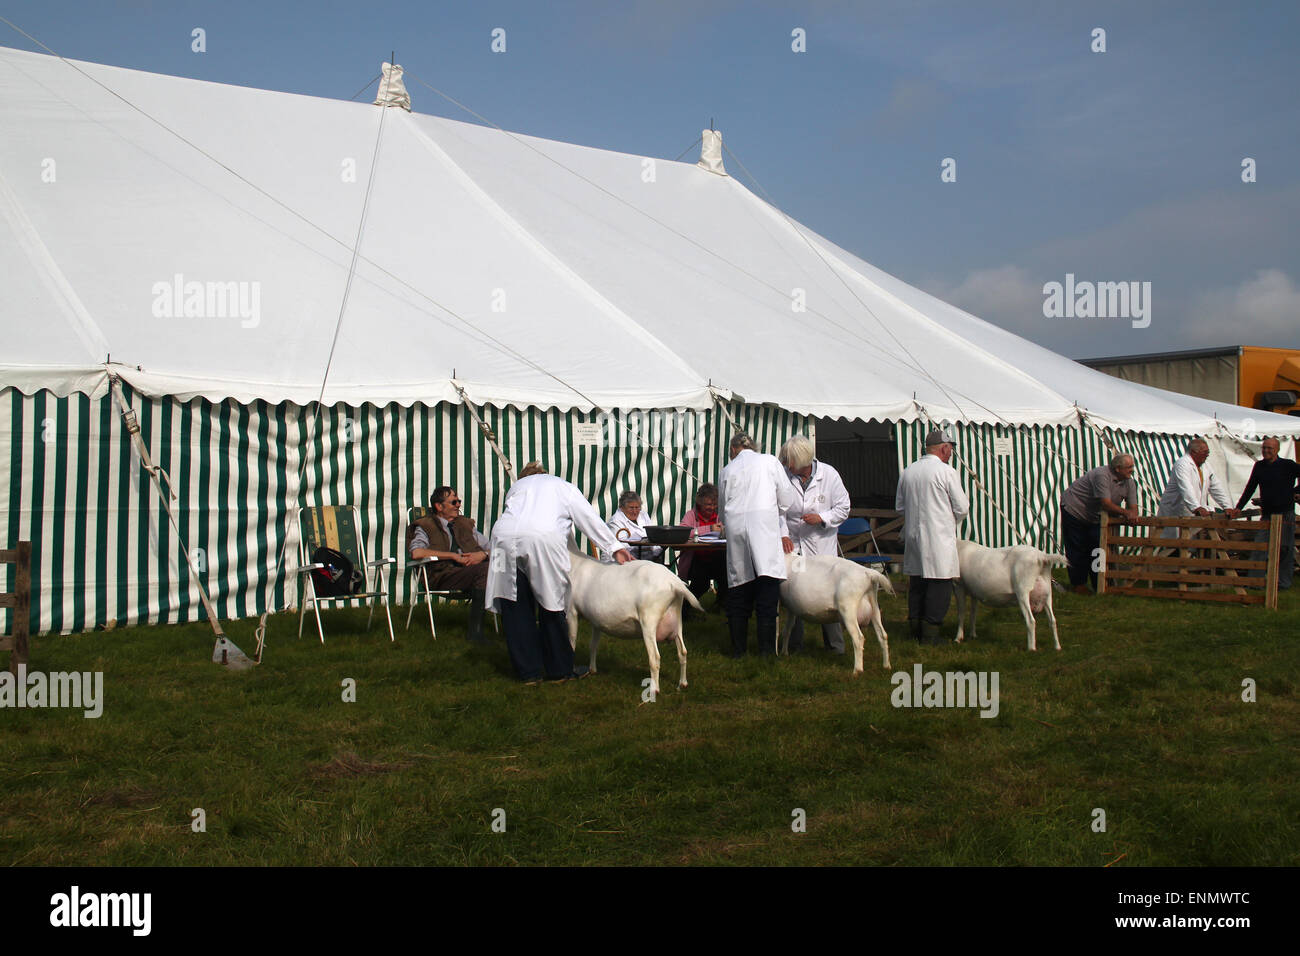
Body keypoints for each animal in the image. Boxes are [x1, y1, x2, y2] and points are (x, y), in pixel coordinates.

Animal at [561, 548, 702, 697]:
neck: (576, 562)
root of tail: (674, 583)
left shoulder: (571, 611)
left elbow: (571, 642)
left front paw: (572, 672)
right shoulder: (596, 621)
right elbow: (593, 645)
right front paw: (592, 670)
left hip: (649, 621)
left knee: (655, 658)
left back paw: (654, 689)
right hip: (676, 619)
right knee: (683, 652)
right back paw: (683, 684)